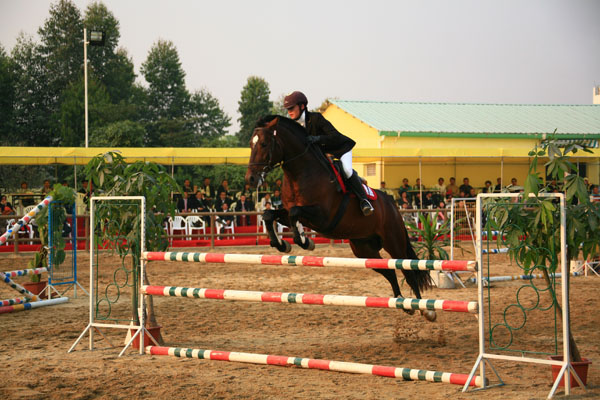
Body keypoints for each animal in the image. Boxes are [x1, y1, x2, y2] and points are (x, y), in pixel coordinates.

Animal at [245, 115, 436, 322]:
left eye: (264, 144)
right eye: (251, 144)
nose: (251, 179)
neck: (301, 173)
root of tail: (392, 204)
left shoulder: (322, 216)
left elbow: (296, 213)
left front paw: (304, 241)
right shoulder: (291, 214)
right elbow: (269, 214)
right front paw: (282, 244)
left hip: (394, 242)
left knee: (408, 271)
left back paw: (424, 309)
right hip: (364, 249)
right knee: (389, 271)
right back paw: (402, 303)